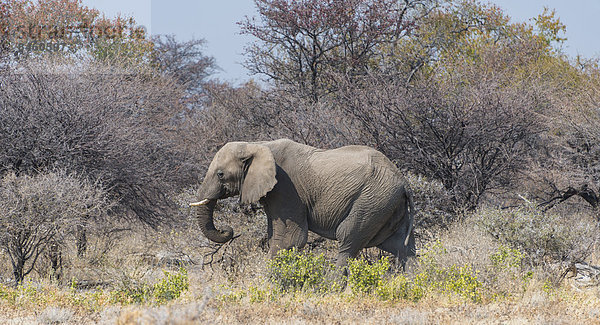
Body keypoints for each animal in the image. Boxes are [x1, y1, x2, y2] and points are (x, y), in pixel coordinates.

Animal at [190, 138, 414, 268]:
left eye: (220, 174)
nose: (226, 230)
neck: (257, 144)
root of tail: (404, 183)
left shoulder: (287, 188)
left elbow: (289, 240)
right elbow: (275, 236)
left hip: (372, 200)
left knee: (348, 240)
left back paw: (329, 289)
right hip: (387, 204)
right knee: (400, 247)